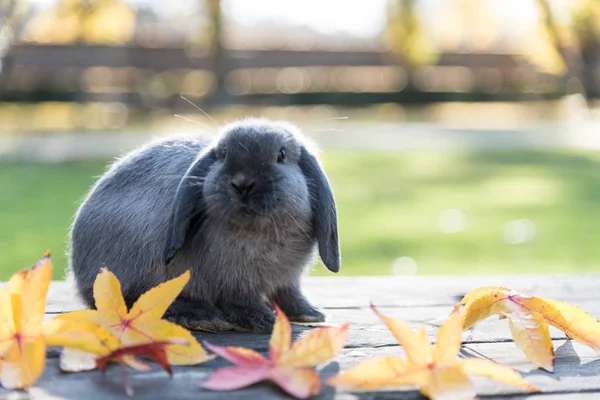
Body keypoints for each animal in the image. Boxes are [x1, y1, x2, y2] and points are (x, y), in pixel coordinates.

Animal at [68, 117, 340, 332]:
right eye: (222, 155)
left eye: (281, 155)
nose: (242, 183)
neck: (256, 230)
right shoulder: (235, 282)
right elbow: (241, 302)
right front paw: (265, 320)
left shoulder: (288, 279)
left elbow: (290, 294)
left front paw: (309, 313)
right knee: (134, 300)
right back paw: (202, 316)